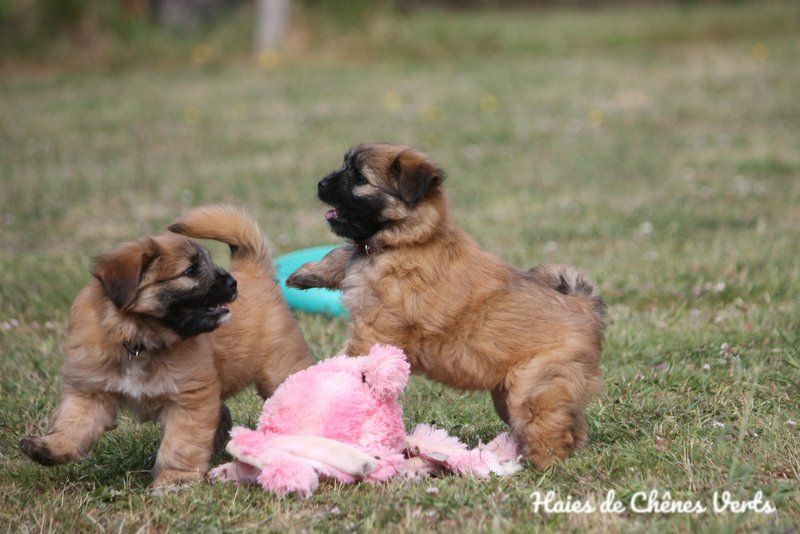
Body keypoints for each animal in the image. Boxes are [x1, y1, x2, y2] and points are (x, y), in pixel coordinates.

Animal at [21, 205, 310, 490]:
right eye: (190, 271)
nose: (231, 283)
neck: (138, 340)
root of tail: (252, 272)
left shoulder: (189, 401)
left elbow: (180, 444)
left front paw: (175, 480)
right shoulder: (91, 392)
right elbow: (73, 424)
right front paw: (50, 448)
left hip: (278, 370)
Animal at [288, 143, 608, 468]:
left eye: (360, 179)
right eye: (344, 167)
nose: (321, 184)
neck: (407, 240)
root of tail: (584, 307)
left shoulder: (373, 329)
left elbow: (351, 358)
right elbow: (342, 255)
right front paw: (306, 273)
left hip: (534, 385)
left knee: (550, 429)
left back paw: (537, 464)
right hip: (514, 393)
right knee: (573, 424)